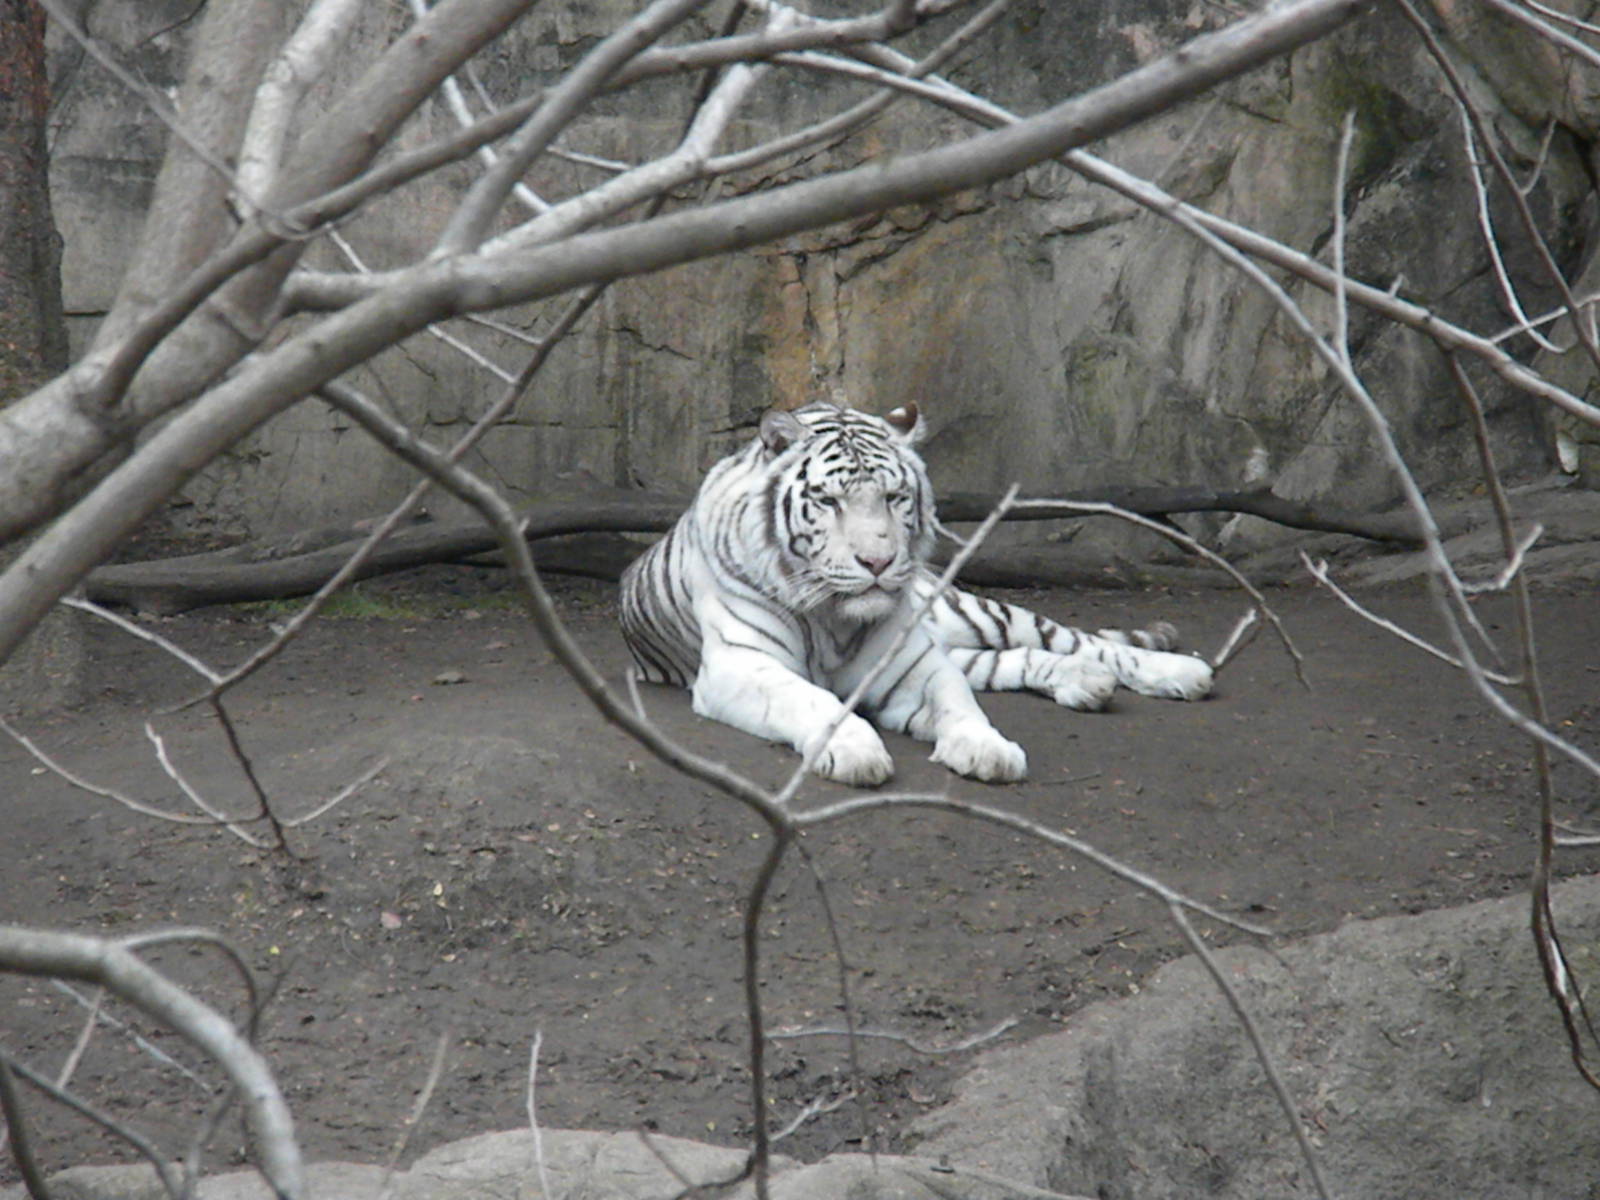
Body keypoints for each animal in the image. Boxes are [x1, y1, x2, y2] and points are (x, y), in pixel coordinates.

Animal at [618, 402, 1213, 786]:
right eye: (829, 501)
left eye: (893, 496)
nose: (878, 563)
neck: (833, 619)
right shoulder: (742, 664)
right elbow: (811, 699)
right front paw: (854, 750)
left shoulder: (914, 662)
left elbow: (959, 704)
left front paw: (986, 749)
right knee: (1018, 658)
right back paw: (1086, 683)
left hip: (969, 614)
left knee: (1074, 639)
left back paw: (1178, 671)